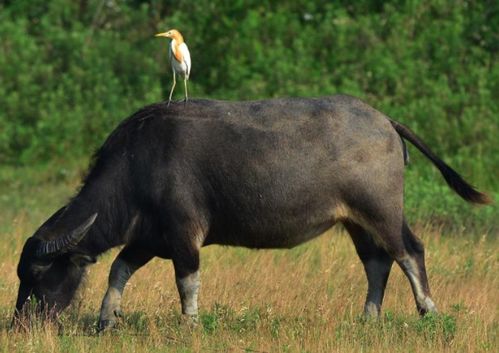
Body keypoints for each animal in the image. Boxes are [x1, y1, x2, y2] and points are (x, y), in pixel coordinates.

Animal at [13, 95, 490, 328]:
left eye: (38, 274)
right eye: (20, 275)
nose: (21, 323)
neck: (138, 165)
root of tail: (385, 121)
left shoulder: (183, 234)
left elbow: (187, 281)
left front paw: (190, 324)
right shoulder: (148, 236)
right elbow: (118, 269)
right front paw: (106, 319)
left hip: (381, 210)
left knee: (409, 251)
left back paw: (428, 311)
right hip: (356, 222)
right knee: (377, 262)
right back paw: (368, 319)